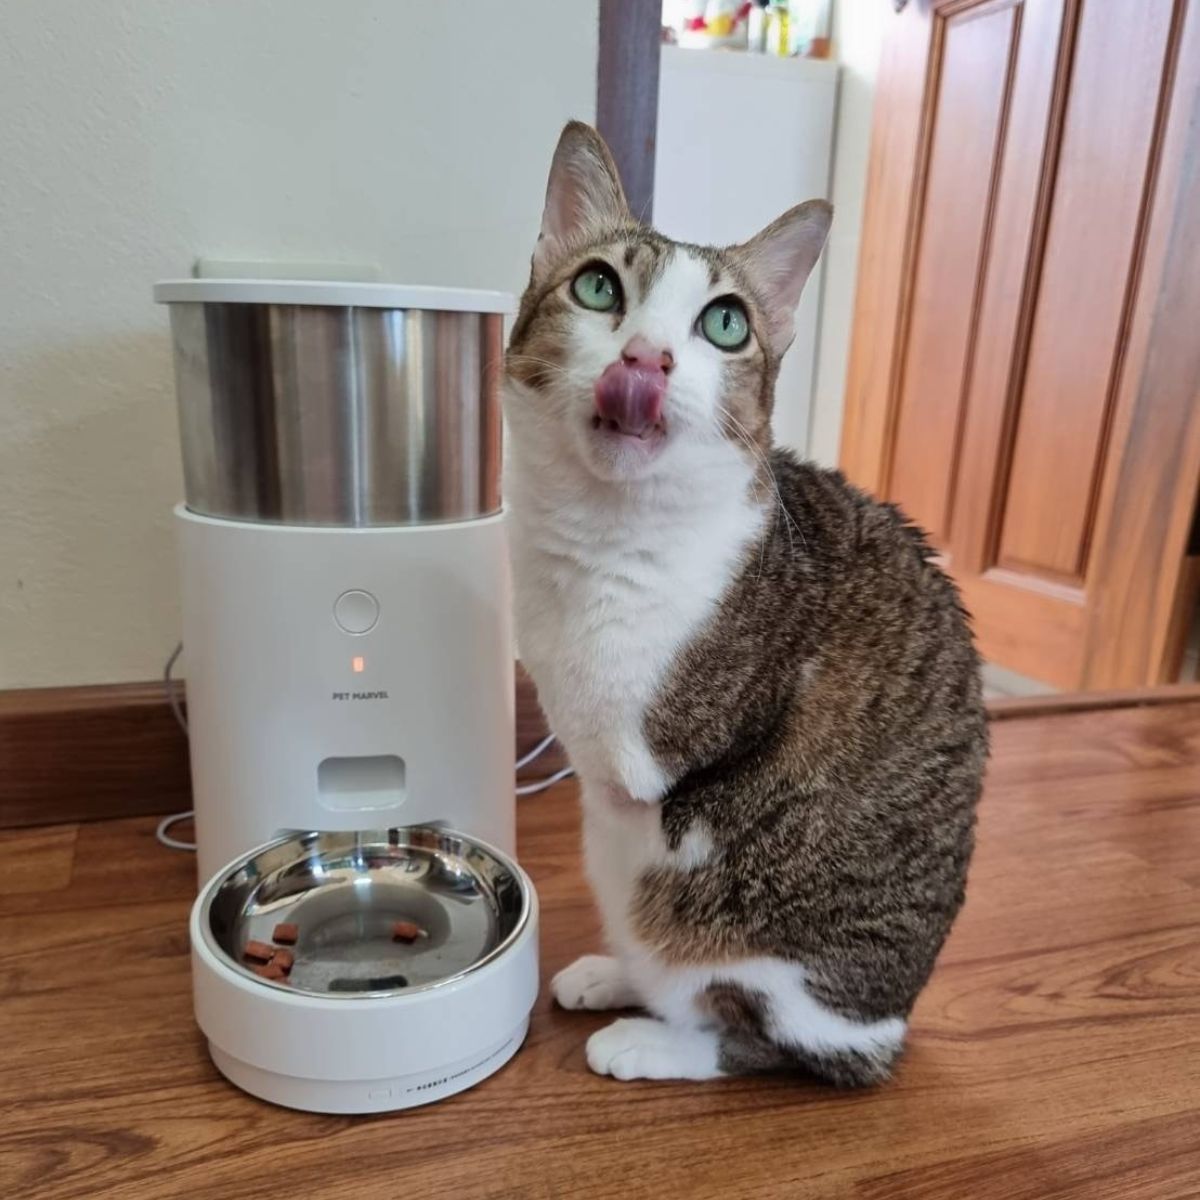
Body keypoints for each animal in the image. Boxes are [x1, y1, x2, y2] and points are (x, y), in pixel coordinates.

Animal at [504, 121, 984, 1089]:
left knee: (752, 1033)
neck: (600, 533)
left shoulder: (642, 744)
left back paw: (652, 1035)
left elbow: (609, 739)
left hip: (745, 939)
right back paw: (614, 974)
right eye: (598, 286)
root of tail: (890, 1021)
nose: (646, 357)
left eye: (724, 324)